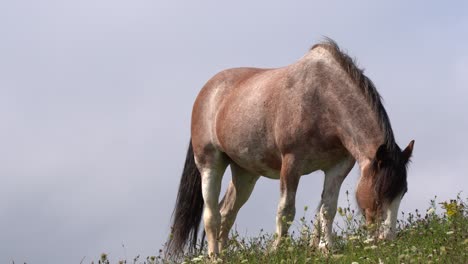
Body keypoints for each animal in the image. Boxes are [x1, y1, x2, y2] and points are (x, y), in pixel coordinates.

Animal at [166, 39, 414, 258]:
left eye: (403, 192)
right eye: (379, 193)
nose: (388, 240)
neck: (322, 99)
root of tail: (208, 91)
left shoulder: (338, 166)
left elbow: (327, 208)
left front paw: (327, 248)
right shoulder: (292, 163)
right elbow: (286, 211)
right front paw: (278, 250)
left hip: (245, 173)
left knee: (227, 212)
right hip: (210, 164)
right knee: (212, 215)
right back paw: (214, 256)